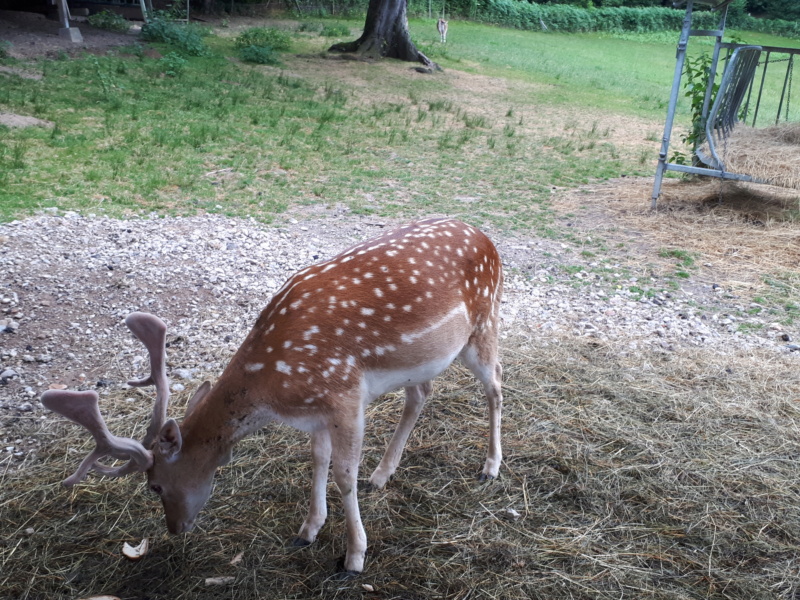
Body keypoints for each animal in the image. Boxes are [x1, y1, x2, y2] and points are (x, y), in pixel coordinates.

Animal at [40, 218, 504, 576]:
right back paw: (382, 474)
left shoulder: (344, 394)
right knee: (422, 393)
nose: (174, 529)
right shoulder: (316, 411)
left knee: (496, 386)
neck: (274, 389)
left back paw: (490, 467)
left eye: (154, 486)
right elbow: (317, 460)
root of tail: (485, 236)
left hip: (485, 322)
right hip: (423, 360)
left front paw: (354, 557)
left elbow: (343, 475)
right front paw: (308, 530)